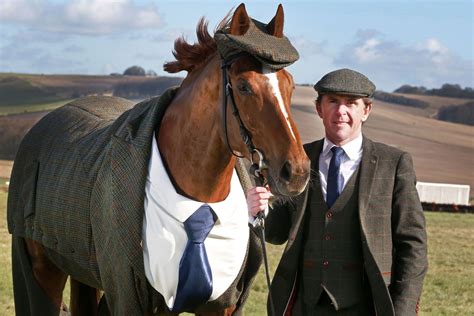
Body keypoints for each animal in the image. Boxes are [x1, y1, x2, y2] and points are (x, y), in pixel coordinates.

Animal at [8, 3, 312, 316]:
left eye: (289, 85)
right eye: (243, 86)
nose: (297, 172)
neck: (199, 201)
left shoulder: (221, 306)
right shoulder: (133, 300)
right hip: (42, 270)